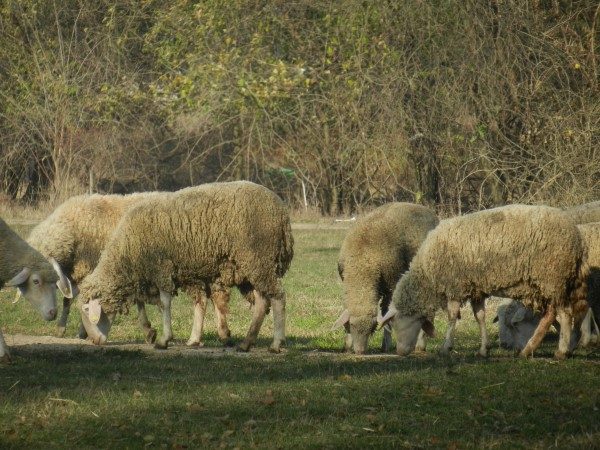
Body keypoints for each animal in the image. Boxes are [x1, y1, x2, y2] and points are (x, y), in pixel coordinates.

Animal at [78, 181, 296, 354]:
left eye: (88, 311)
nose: (94, 341)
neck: (127, 252)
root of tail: (281, 211)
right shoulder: (189, 274)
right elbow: (198, 304)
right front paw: (193, 339)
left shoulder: (162, 267)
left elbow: (165, 304)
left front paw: (164, 339)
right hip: (252, 265)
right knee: (261, 302)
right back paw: (246, 343)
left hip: (258, 258)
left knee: (278, 297)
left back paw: (276, 343)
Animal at [330, 202, 438, 354]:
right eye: (351, 325)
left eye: (372, 328)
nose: (360, 351)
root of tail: (428, 210)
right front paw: (347, 346)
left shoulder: (391, 286)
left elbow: (387, 314)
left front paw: (385, 345)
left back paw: (420, 346)